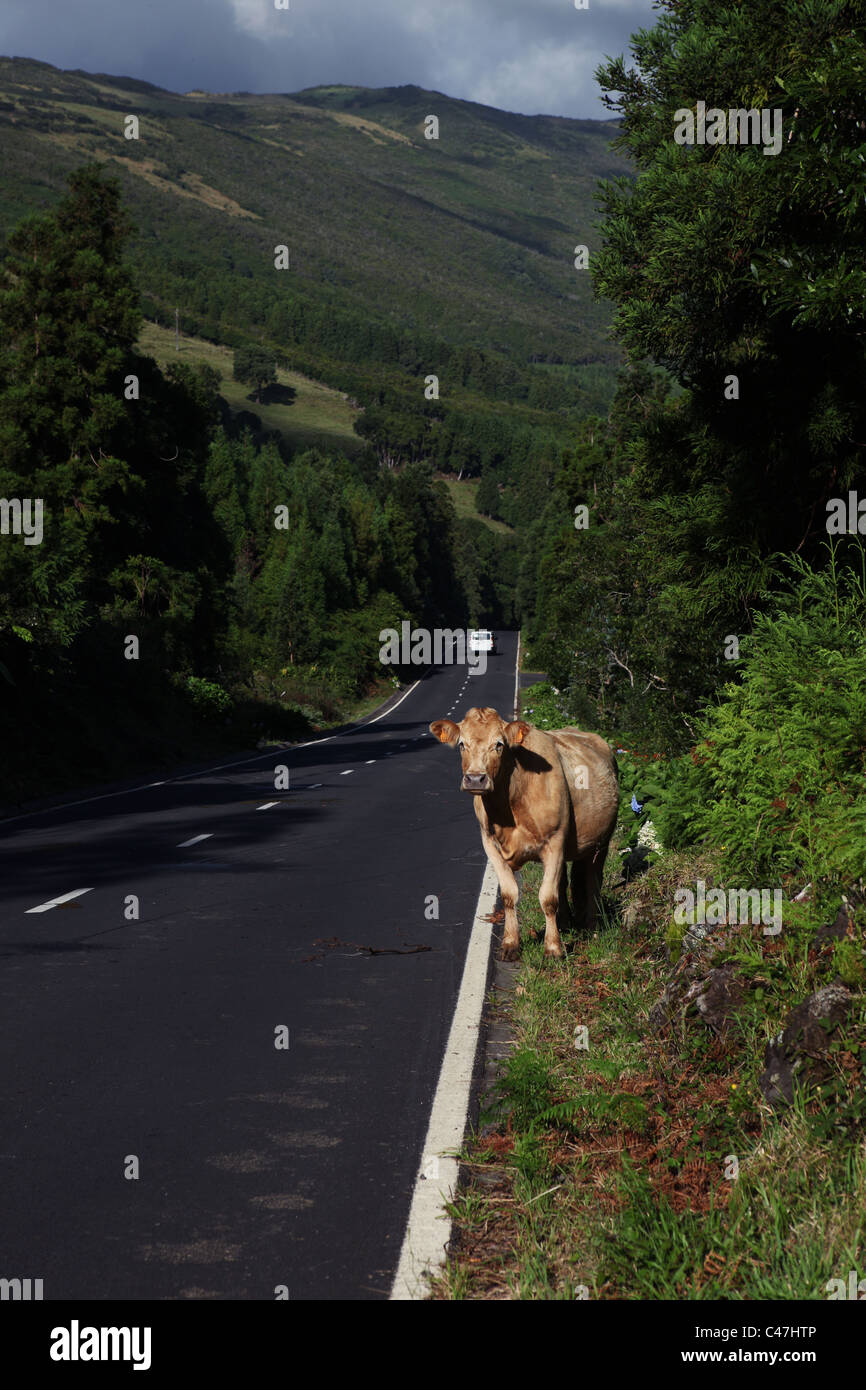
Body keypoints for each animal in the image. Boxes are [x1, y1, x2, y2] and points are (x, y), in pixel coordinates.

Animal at [430, 706, 619, 956]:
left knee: (592, 880)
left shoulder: (554, 841)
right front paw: (511, 943)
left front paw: (553, 948)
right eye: (462, 744)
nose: (475, 779)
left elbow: (548, 898)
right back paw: (565, 923)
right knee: (564, 883)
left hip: (602, 842)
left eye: (499, 744)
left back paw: (592, 925)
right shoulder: (490, 844)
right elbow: (510, 895)